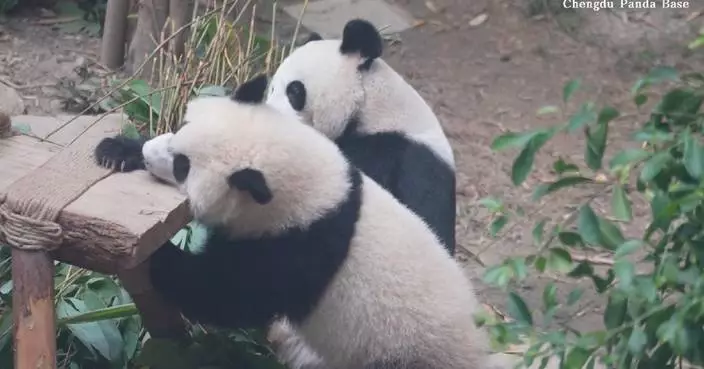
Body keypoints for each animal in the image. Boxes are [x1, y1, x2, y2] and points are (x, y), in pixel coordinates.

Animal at [144, 76, 496, 366]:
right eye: (182, 124)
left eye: (182, 166)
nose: (149, 153)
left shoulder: (298, 246)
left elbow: (227, 293)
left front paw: (160, 257)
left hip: (406, 355)